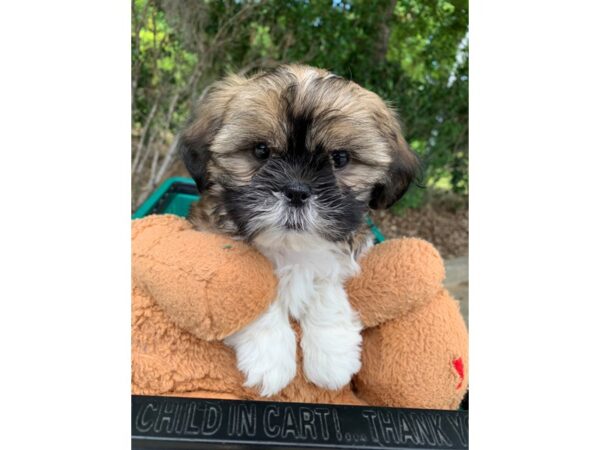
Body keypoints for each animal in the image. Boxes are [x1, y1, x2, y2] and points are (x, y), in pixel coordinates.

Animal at [180, 65, 420, 396]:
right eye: (261, 151)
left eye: (340, 158)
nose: (296, 190)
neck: (291, 245)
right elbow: (254, 287)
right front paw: (270, 358)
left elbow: (327, 285)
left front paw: (333, 355)